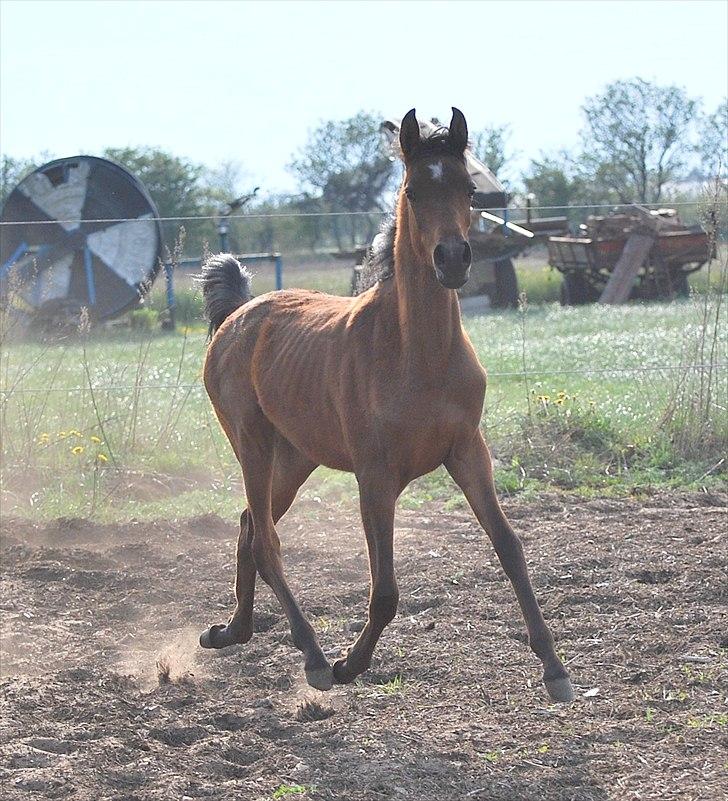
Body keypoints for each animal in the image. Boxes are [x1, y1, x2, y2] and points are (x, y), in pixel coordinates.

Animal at [198, 108, 576, 700]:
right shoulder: (375, 476)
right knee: (266, 542)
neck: (417, 354)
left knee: (248, 527)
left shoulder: (469, 452)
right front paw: (349, 664)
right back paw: (312, 657)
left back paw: (231, 631)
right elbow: (386, 591)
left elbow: (510, 548)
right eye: (413, 190)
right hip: (252, 446)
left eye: (469, 189)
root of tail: (238, 313)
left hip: (295, 457)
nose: (453, 258)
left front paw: (555, 670)